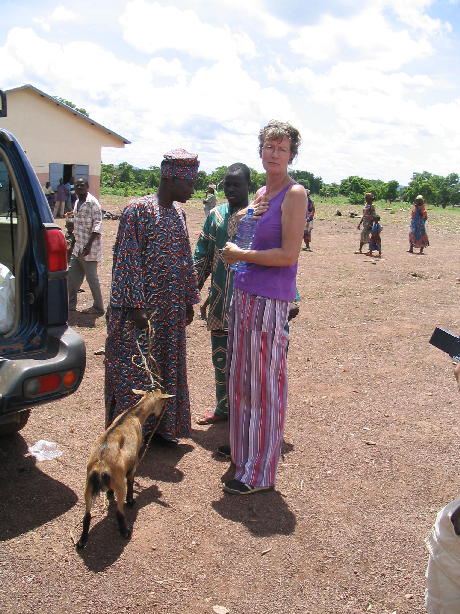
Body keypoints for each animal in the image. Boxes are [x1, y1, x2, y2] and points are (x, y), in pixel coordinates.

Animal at [76, 390, 172, 548]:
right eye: (163, 401)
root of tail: (101, 466)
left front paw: (109, 493)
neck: (132, 415)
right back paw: (125, 532)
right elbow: (131, 481)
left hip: (88, 486)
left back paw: (81, 541)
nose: (163, 412)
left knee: (87, 515)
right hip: (119, 484)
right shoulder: (134, 463)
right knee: (119, 512)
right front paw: (131, 500)